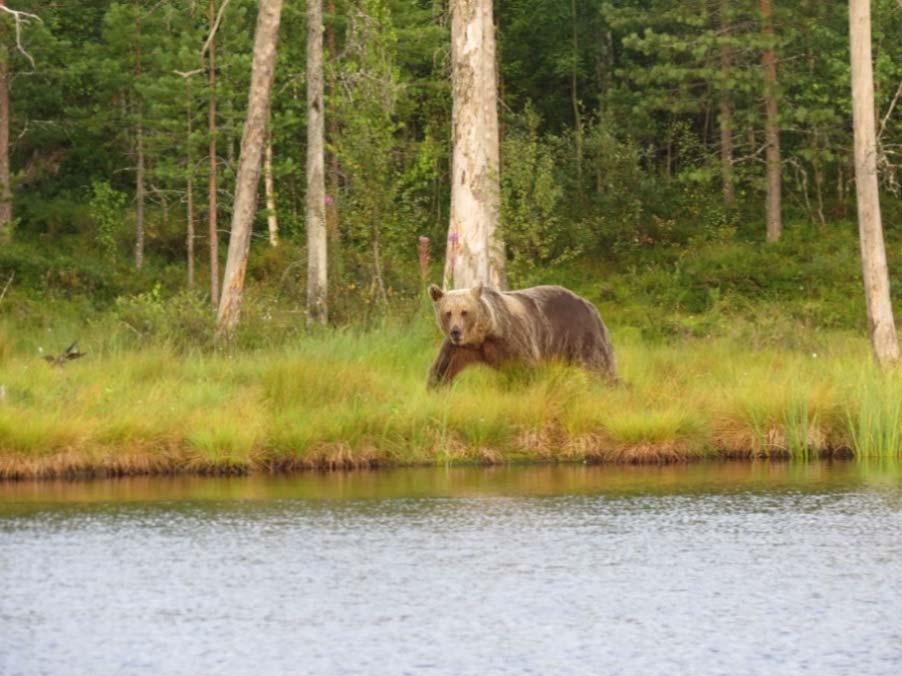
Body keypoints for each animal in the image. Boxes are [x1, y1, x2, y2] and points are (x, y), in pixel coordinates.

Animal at [428, 282, 616, 388]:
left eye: (464, 312)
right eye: (448, 312)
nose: (456, 331)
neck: (481, 337)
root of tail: (589, 304)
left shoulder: (511, 340)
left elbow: (526, 369)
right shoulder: (459, 349)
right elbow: (442, 370)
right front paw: (436, 389)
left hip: (580, 335)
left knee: (600, 366)